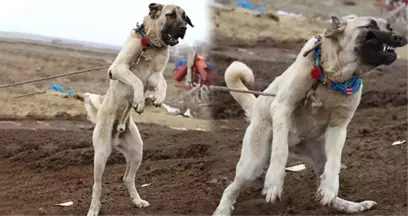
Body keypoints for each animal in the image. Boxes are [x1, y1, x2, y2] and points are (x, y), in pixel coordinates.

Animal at [83, 2, 194, 215]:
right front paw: (140, 101)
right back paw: (94, 208)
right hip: (101, 154)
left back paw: (138, 201)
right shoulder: (117, 68)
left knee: (127, 177)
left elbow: (162, 83)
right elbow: (134, 79)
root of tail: (116, 137)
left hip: (136, 152)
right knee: (97, 184)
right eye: (170, 15)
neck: (151, 45)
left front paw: (156, 98)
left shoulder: (155, 75)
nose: (184, 28)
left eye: (185, 17)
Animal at [214, 16, 408, 215]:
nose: (401, 37)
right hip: (253, 163)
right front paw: (274, 182)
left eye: (389, 27)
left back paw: (351, 205)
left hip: (320, 155)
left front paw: (330, 189)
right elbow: (280, 151)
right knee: (230, 188)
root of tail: (256, 108)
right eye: (370, 26)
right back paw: (222, 210)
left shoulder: (339, 128)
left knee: (324, 182)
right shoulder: (282, 106)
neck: (332, 77)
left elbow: (335, 164)